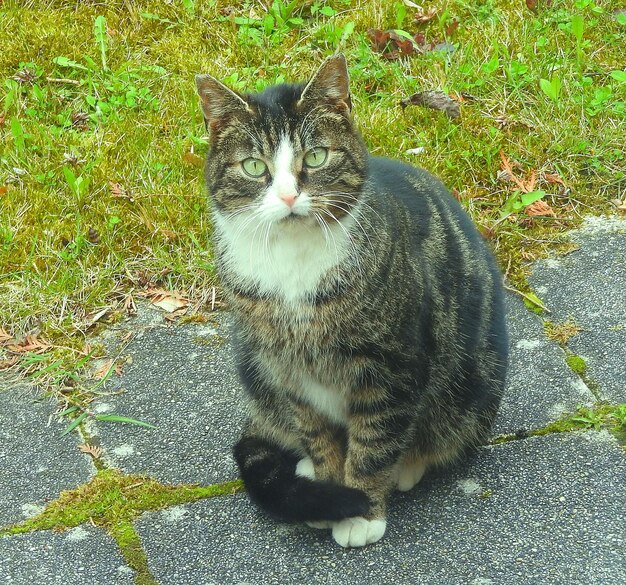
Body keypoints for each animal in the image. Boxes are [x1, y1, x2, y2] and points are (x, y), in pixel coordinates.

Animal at [195, 54, 508, 548]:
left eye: (315, 156)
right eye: (254, 167)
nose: (289, 195)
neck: (293, 268)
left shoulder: (392, 367)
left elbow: (375, 444)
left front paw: (363, 511)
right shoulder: (290, 371)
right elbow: (318, 435)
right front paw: (328, 490)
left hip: (473, 385)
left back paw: (408, 465)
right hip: (253, 362)